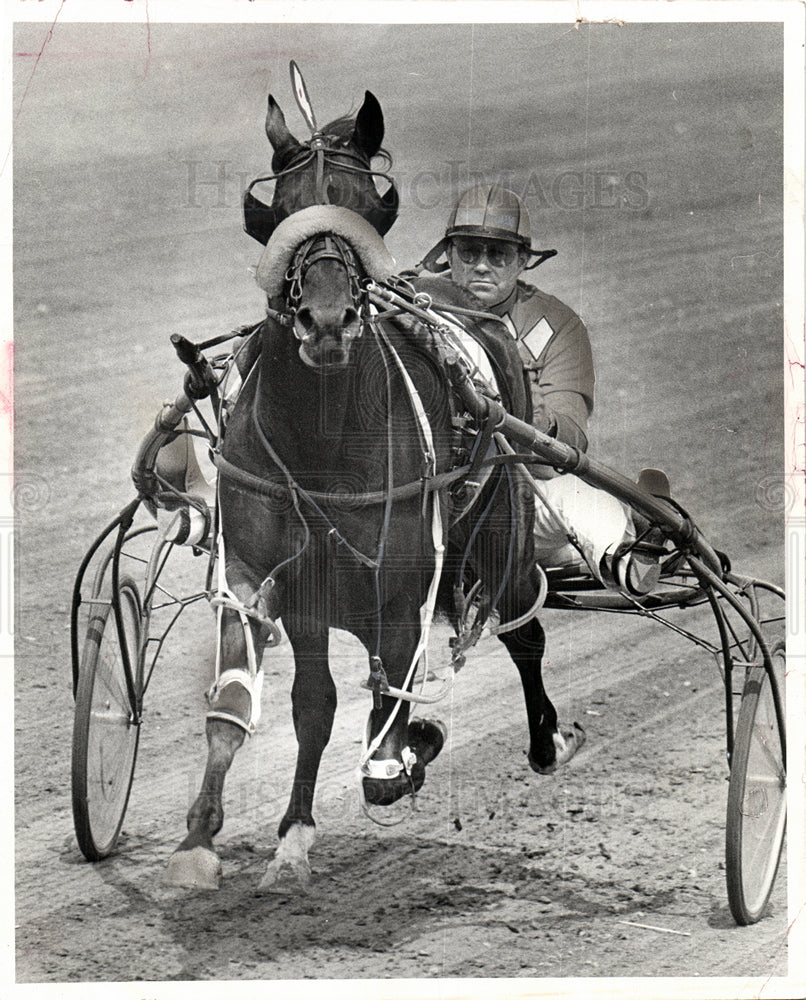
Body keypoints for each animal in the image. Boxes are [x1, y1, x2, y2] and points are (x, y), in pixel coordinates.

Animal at [164, 88, 584, 892]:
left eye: (368, 205)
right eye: (280, 208)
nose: (327, 320)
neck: (322, 439)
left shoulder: (403, 581)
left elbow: (387, 737)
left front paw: (413, 744)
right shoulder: (265, 576)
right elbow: (273, 704)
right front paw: (221, 839)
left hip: (506, 545)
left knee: (526, 635)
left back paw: (544, 740)